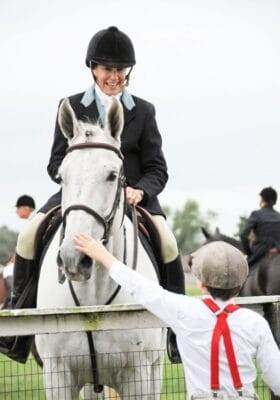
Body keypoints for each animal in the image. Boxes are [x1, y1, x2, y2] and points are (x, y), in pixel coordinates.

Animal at [35, 97, 165, 400]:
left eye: (112, 175)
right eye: (61, 176)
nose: (74, 259)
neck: (92, 296)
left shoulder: (137, 377)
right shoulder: (57, 376)